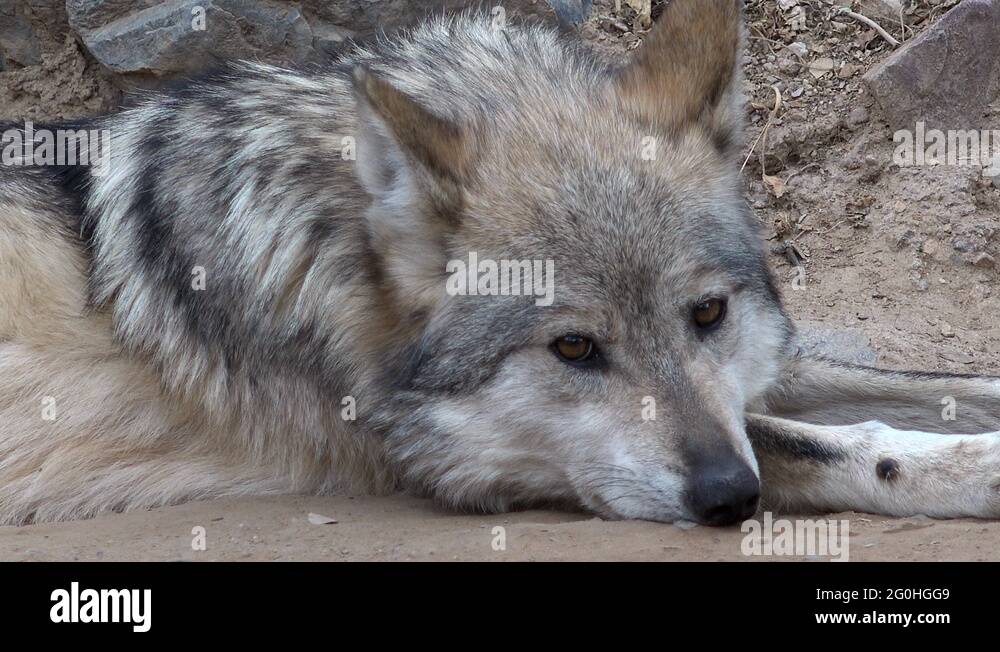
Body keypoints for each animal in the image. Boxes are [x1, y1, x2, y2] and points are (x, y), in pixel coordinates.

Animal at [1, 0, 998, 527]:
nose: (727, 497)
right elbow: (822, 441)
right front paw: (969, 468)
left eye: (709, 314)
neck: (332, 248)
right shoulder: (461, 467)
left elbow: (929, 383)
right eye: (573, 350)